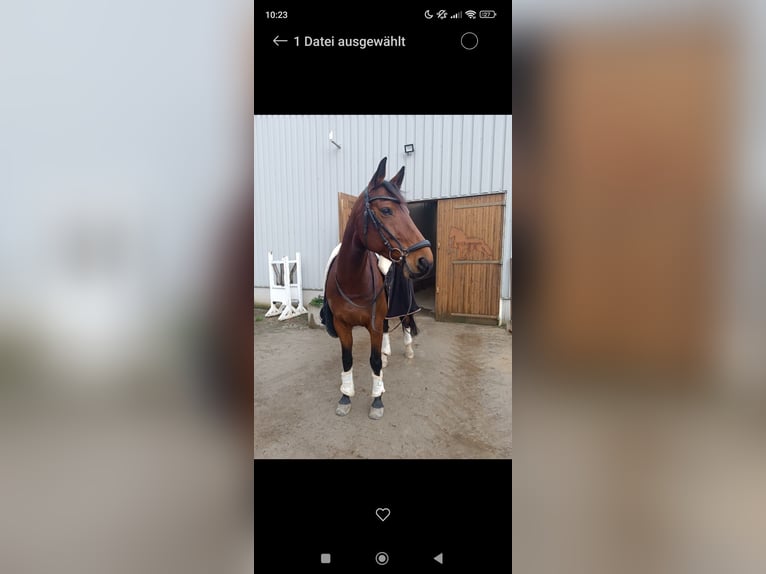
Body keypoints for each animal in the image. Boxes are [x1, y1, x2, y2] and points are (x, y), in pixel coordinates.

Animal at [320, 157, 434, 419]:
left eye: (408, 212)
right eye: (386, 210)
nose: (425, 259)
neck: (352, 281)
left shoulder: (372, 323)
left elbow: (373, 362)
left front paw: (377, 400)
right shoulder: (342, 325)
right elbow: (347, 359)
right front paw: (345, 396)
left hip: (403, 305)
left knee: (405, 322)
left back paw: (407, 351)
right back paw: (387, 353)